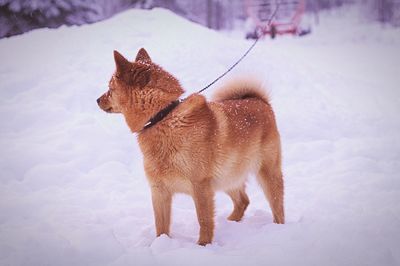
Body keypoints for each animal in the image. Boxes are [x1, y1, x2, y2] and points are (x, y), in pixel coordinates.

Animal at [97, 48, 284, 245]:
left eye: (110, 88)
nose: (97, 100)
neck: (163, 117)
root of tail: (260, 101)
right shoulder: (159, 190)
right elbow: (161, 225)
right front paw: (161, 244)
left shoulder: (200, 187)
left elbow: (204, 220)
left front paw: (203, 245)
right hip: (226, 177)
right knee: (243, 201)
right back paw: (231, 222)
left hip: (267, 174)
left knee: (276, 207)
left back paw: (278, 229)